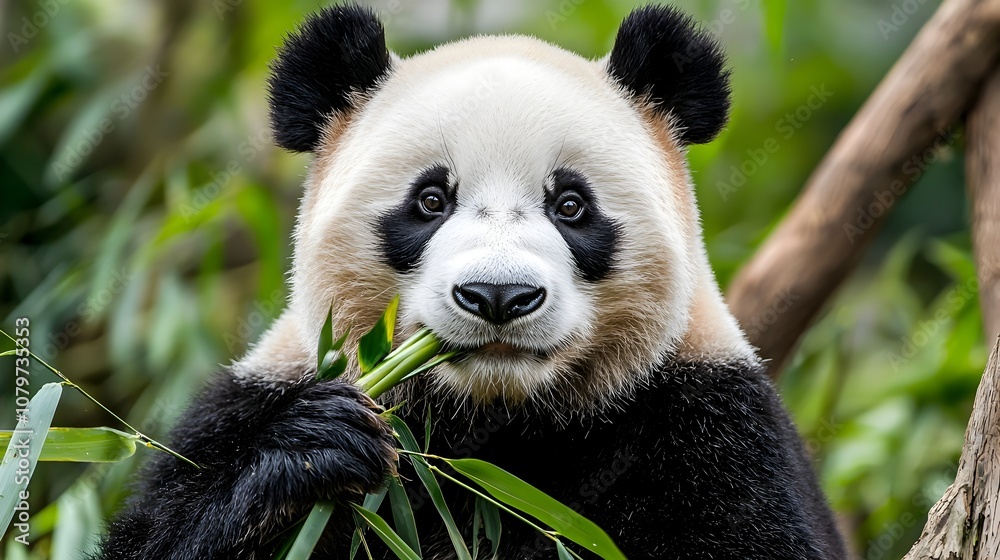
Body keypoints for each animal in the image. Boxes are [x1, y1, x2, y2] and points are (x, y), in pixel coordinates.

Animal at [97, 4, 847, 559]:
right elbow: (171, 524)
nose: (498, 297)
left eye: (570, 205)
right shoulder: (256, 397)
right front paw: (312, 450)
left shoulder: (707, 424)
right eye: (431, 201)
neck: (493, 422)